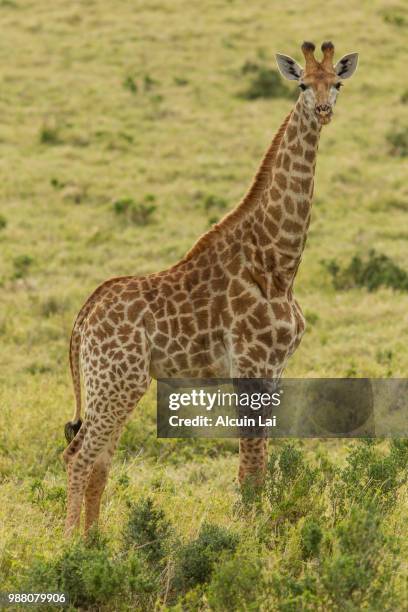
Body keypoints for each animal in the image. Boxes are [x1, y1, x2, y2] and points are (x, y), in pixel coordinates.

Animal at [63, 40, 356, 532]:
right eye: (301, 84)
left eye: (336, 82)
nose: (323, 110)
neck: (278, 264)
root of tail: (83, 318)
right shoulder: (250, 366)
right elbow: (251, 468)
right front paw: (252, 537)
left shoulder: (275, 371)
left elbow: (260, 462)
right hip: (113, 381)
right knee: (78, 456)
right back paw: (68, 543)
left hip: (120, 383)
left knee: (98, 460)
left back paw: (93, 541)